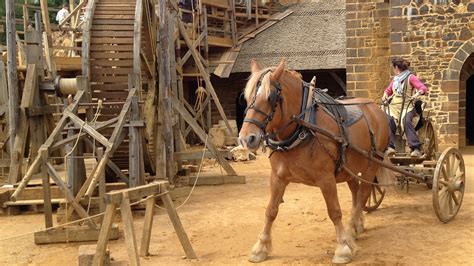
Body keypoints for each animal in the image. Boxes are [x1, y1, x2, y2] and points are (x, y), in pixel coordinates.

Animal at [239, 59, 394, 262]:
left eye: (270, 97)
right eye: (247, 97)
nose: (246, 139)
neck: (303, 127)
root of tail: (376, 109)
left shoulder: (326, 178)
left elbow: (334, 211)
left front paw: (343, 247)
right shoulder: (277, 177)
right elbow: (271, 211)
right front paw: (260, 247)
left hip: (372, 163)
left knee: (364, 194)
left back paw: (351, 228)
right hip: (350, 167)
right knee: (356, 191)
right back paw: (356, 225)